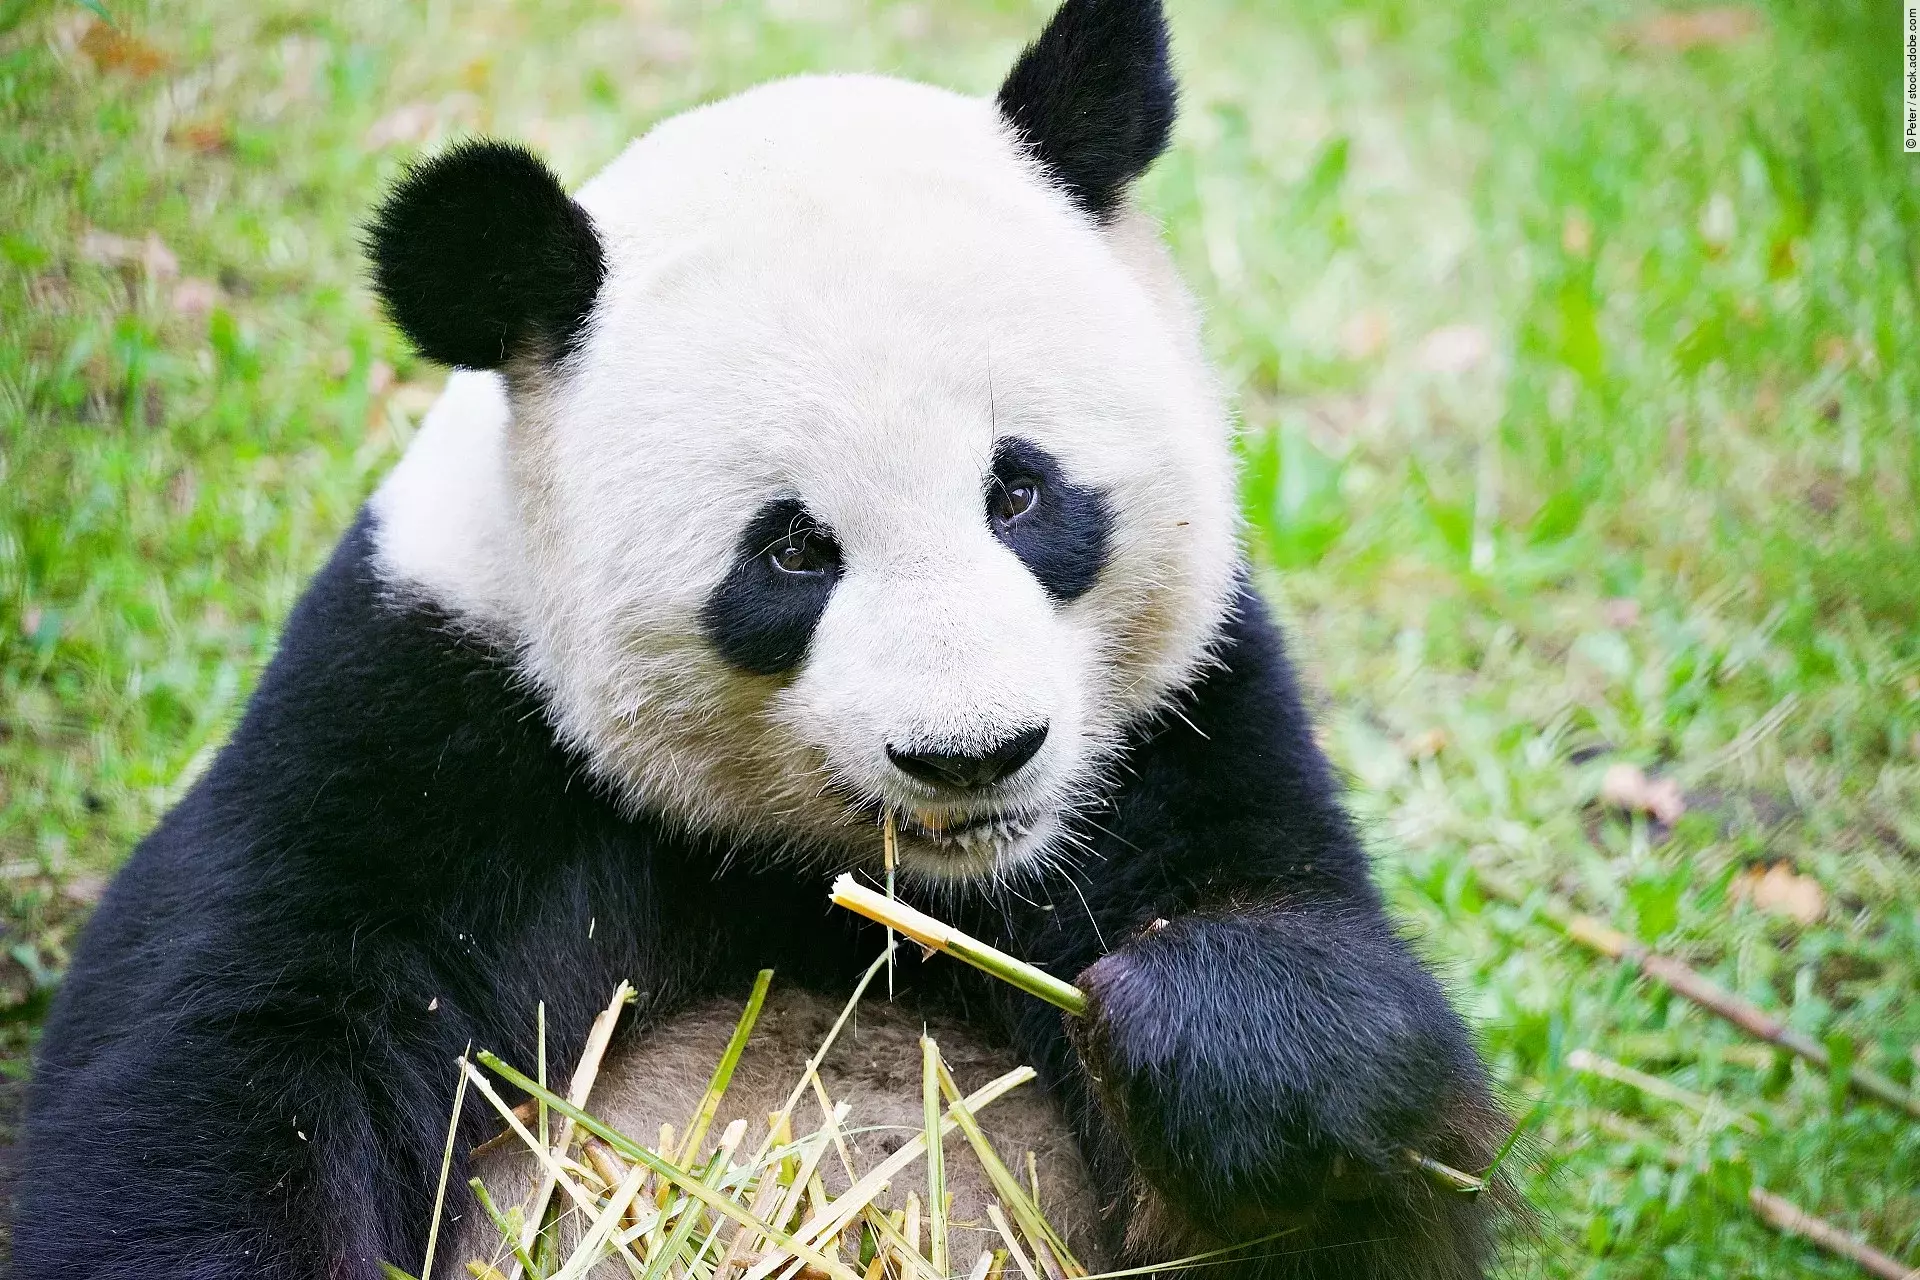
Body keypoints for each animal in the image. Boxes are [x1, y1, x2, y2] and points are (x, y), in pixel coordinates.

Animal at [15, 1, 1510, 1276]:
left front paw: (1194, 1033)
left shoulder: (1181, 732)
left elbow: (1362, 1136)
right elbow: (220, 1081)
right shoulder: (416, 737)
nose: (973, 756)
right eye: (793, 550)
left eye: (1018, 492)